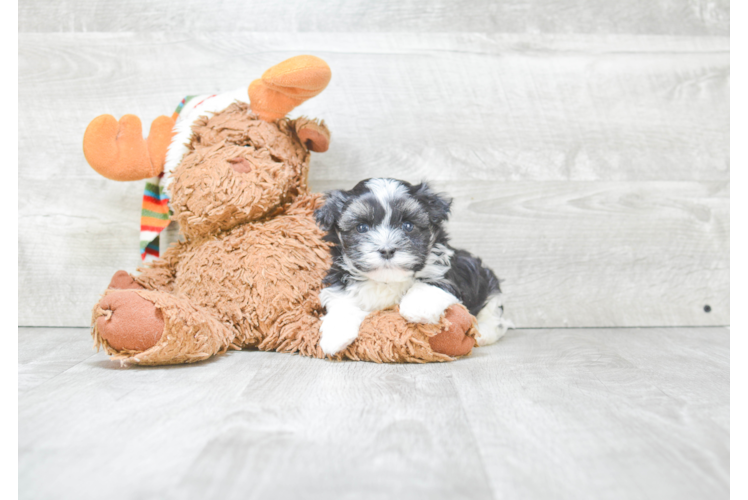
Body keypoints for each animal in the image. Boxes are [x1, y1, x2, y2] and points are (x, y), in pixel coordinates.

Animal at [312, 177, 512, 356]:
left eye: (408, 225)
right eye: (361, 227)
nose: (387, 250)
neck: (387, 280)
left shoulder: (447, 271)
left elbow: (430, 284)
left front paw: (418, 307)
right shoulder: (340, 279)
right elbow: (341, 300)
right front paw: (335, 335)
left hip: (486, 282)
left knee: (495, 318)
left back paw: (483, 333)